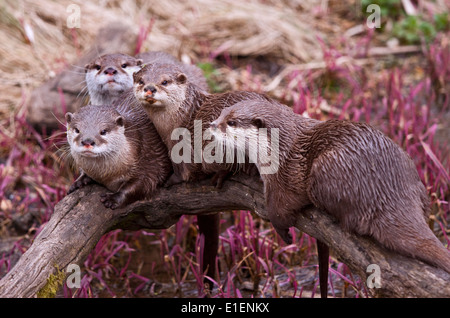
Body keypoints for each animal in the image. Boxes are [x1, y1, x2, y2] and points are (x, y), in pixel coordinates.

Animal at [210, 99, 450, 274]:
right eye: (222, 113)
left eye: (231, 122)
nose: (212, 125)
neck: (279, 149)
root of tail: (387, 192)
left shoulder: (285, 177)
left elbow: (280, 209)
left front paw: (284, 233)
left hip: (326, 169)